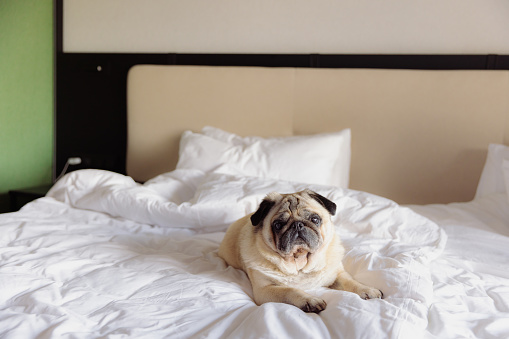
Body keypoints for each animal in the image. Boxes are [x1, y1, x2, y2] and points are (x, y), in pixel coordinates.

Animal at [217, 189, 380, 314]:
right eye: (278, 225)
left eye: (315, 219)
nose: (297, 225)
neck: (300, 261)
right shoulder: (264, 289)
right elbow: (289, 290)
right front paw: (310, 300)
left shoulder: (336, 274)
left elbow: (351, 282)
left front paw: (367, 290)